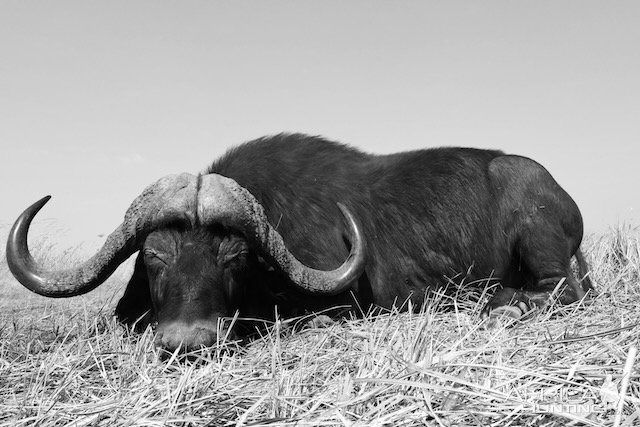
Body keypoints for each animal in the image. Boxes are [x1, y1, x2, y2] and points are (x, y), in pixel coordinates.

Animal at [6, 133, 596, 352]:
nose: (190, 342)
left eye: (234, 255)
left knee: (560, 291)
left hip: (543, 244)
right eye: (154, 256)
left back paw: (506, 305)